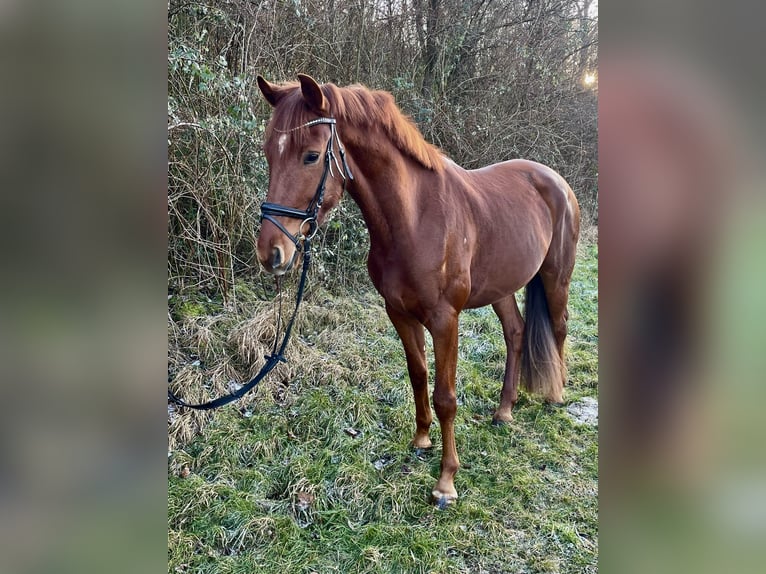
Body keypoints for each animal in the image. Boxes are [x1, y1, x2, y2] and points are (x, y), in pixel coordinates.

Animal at [255, 74, 580, 506]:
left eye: (310, 156)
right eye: (269, 153)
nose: (270, 252)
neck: (414, 218)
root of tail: (556, 180)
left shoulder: (445, 320)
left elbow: (446, 397)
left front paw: (446, 482)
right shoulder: (399, 313)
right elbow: (417, 374)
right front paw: (422, 440)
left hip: (556, 276)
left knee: (558, 327)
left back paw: (555, 396)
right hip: (502, 287)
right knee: (515, 332)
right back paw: (504, 411)